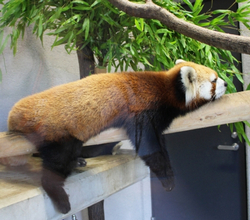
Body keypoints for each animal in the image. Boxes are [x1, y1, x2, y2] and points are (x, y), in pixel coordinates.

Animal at [1, 59, 227, 213]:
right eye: (214, 80)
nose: (226, 84)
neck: (166, 90)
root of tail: (16, 114)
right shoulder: (143, 110)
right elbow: (149, 148)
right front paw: (167, 179)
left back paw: (77, 162)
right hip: (56, 131)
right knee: (57, 162)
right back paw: (60, 196)